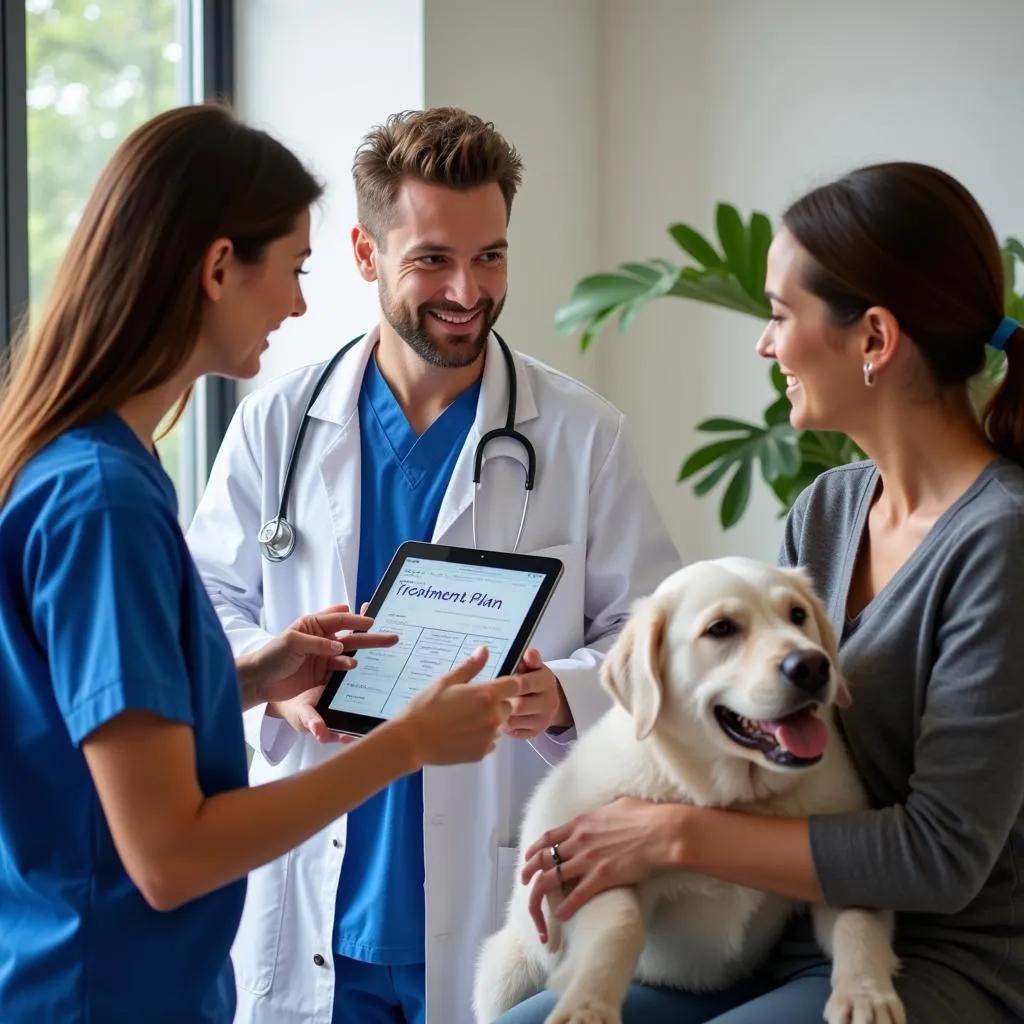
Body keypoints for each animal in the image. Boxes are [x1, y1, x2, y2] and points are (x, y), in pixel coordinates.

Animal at [473, 561, 905, 1024]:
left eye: (798, 615)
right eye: (721, 629)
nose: (812, 666)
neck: (734, 800)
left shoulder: (843, 868)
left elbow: (857, 920)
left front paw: (866, 994)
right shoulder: (592, 869)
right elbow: (621, 922)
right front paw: (588, 1005)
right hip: (506, 971)